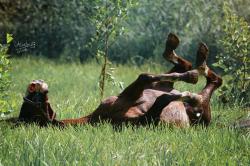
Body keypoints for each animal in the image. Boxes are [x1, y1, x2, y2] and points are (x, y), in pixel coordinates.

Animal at [18, 33, 223, 127]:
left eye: (30, 97)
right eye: (34, 101)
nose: (34, 83)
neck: (95, 118)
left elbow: (152, 80)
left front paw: (191, 80)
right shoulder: (144, 117)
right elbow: (151, 83)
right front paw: (190, 90)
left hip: (162, 85)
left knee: (193, 69)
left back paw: (194, 55)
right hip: (197, 107)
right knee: (210, 82)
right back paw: (196, 75)